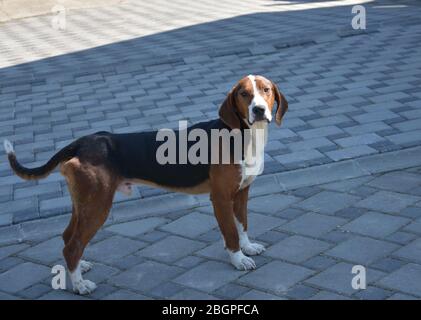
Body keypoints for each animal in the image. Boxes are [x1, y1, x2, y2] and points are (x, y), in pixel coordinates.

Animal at [3, 75, 286, 296]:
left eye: (266, 90)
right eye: (244, 94)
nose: (259, 110)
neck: (243, 136)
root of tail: (83, 142)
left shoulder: (242, 193)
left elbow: (242, 225)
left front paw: (248, 248)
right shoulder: (220, 198)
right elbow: (230, 234)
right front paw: (239, 259)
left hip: (84, 203)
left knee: (67, 238)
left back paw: (79, 270)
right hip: (97, 206)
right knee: (72, 245)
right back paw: (80, 285)